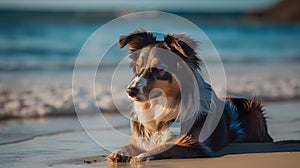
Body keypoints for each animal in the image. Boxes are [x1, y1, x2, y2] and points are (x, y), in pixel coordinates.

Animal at [106, 29, 274, 163]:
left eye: (159, 69)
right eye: (137, 67)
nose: (130, 91)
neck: (161, 106)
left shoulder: (196, 145)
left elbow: (167, 146)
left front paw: (145, 155)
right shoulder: (140, 140)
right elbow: (129, 146)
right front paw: (120, 152)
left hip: (255, 111)